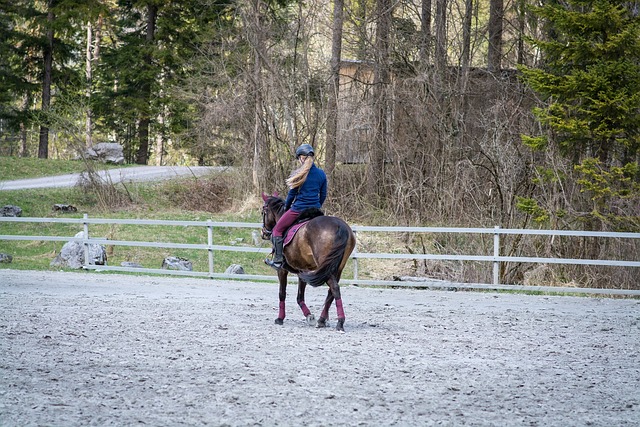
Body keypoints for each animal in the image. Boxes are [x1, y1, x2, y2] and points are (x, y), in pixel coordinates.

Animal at [262, 193, 360, 332]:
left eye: (263, 211)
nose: (264, 233)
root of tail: (339, 226)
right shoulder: (303, 269)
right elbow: (300, 296)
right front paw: (309, 316)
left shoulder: (282, 269)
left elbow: (282, 293)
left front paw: (280, 319)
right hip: (336, 268)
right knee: (331, 291)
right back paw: (322, 320)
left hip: (325, 266)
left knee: (334, 288)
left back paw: (339, 322)